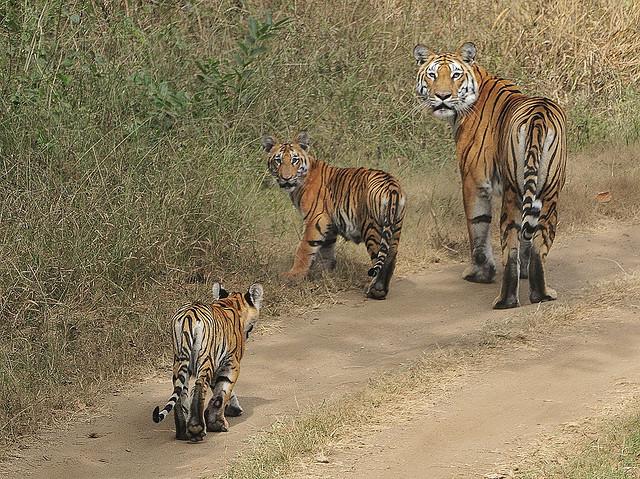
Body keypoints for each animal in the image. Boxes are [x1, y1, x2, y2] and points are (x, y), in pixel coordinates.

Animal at [152, 282, 262, 442]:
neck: (232, 302)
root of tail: (188, 315)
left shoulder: (219, 365)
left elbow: (220, 391)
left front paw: (231, 409)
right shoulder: (231, 363)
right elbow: (222, 392)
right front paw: (217, 423)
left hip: (179, 362)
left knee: (181, 391)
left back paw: (183, 432)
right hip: (205, 358)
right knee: (199, 386)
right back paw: (196, 429)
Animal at [262, 132, 404, 300]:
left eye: (294, 160)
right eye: (278, 160)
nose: (286, 178)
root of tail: (391, 185)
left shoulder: (316, 219)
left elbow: (304, 248)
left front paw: (293, 276)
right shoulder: (329, 223)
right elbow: (326, 250)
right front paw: (324, 274)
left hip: (372, 227)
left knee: (380, 257)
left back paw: (374, 290)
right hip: (395, 227)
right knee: (391, 256)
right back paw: (381, 290)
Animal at [412, 43, 568, 310]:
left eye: (455, 75)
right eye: (432, 75)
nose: (442, 96)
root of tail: (539, 116)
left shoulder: (473, 181)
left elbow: (477, 226)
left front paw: (479, 273)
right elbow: (528, 240)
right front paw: (524, 271)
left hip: (513, 194)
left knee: (510, 248)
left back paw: (506, 300)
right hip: (549, 193)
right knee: (539, 244)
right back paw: (541, 294)